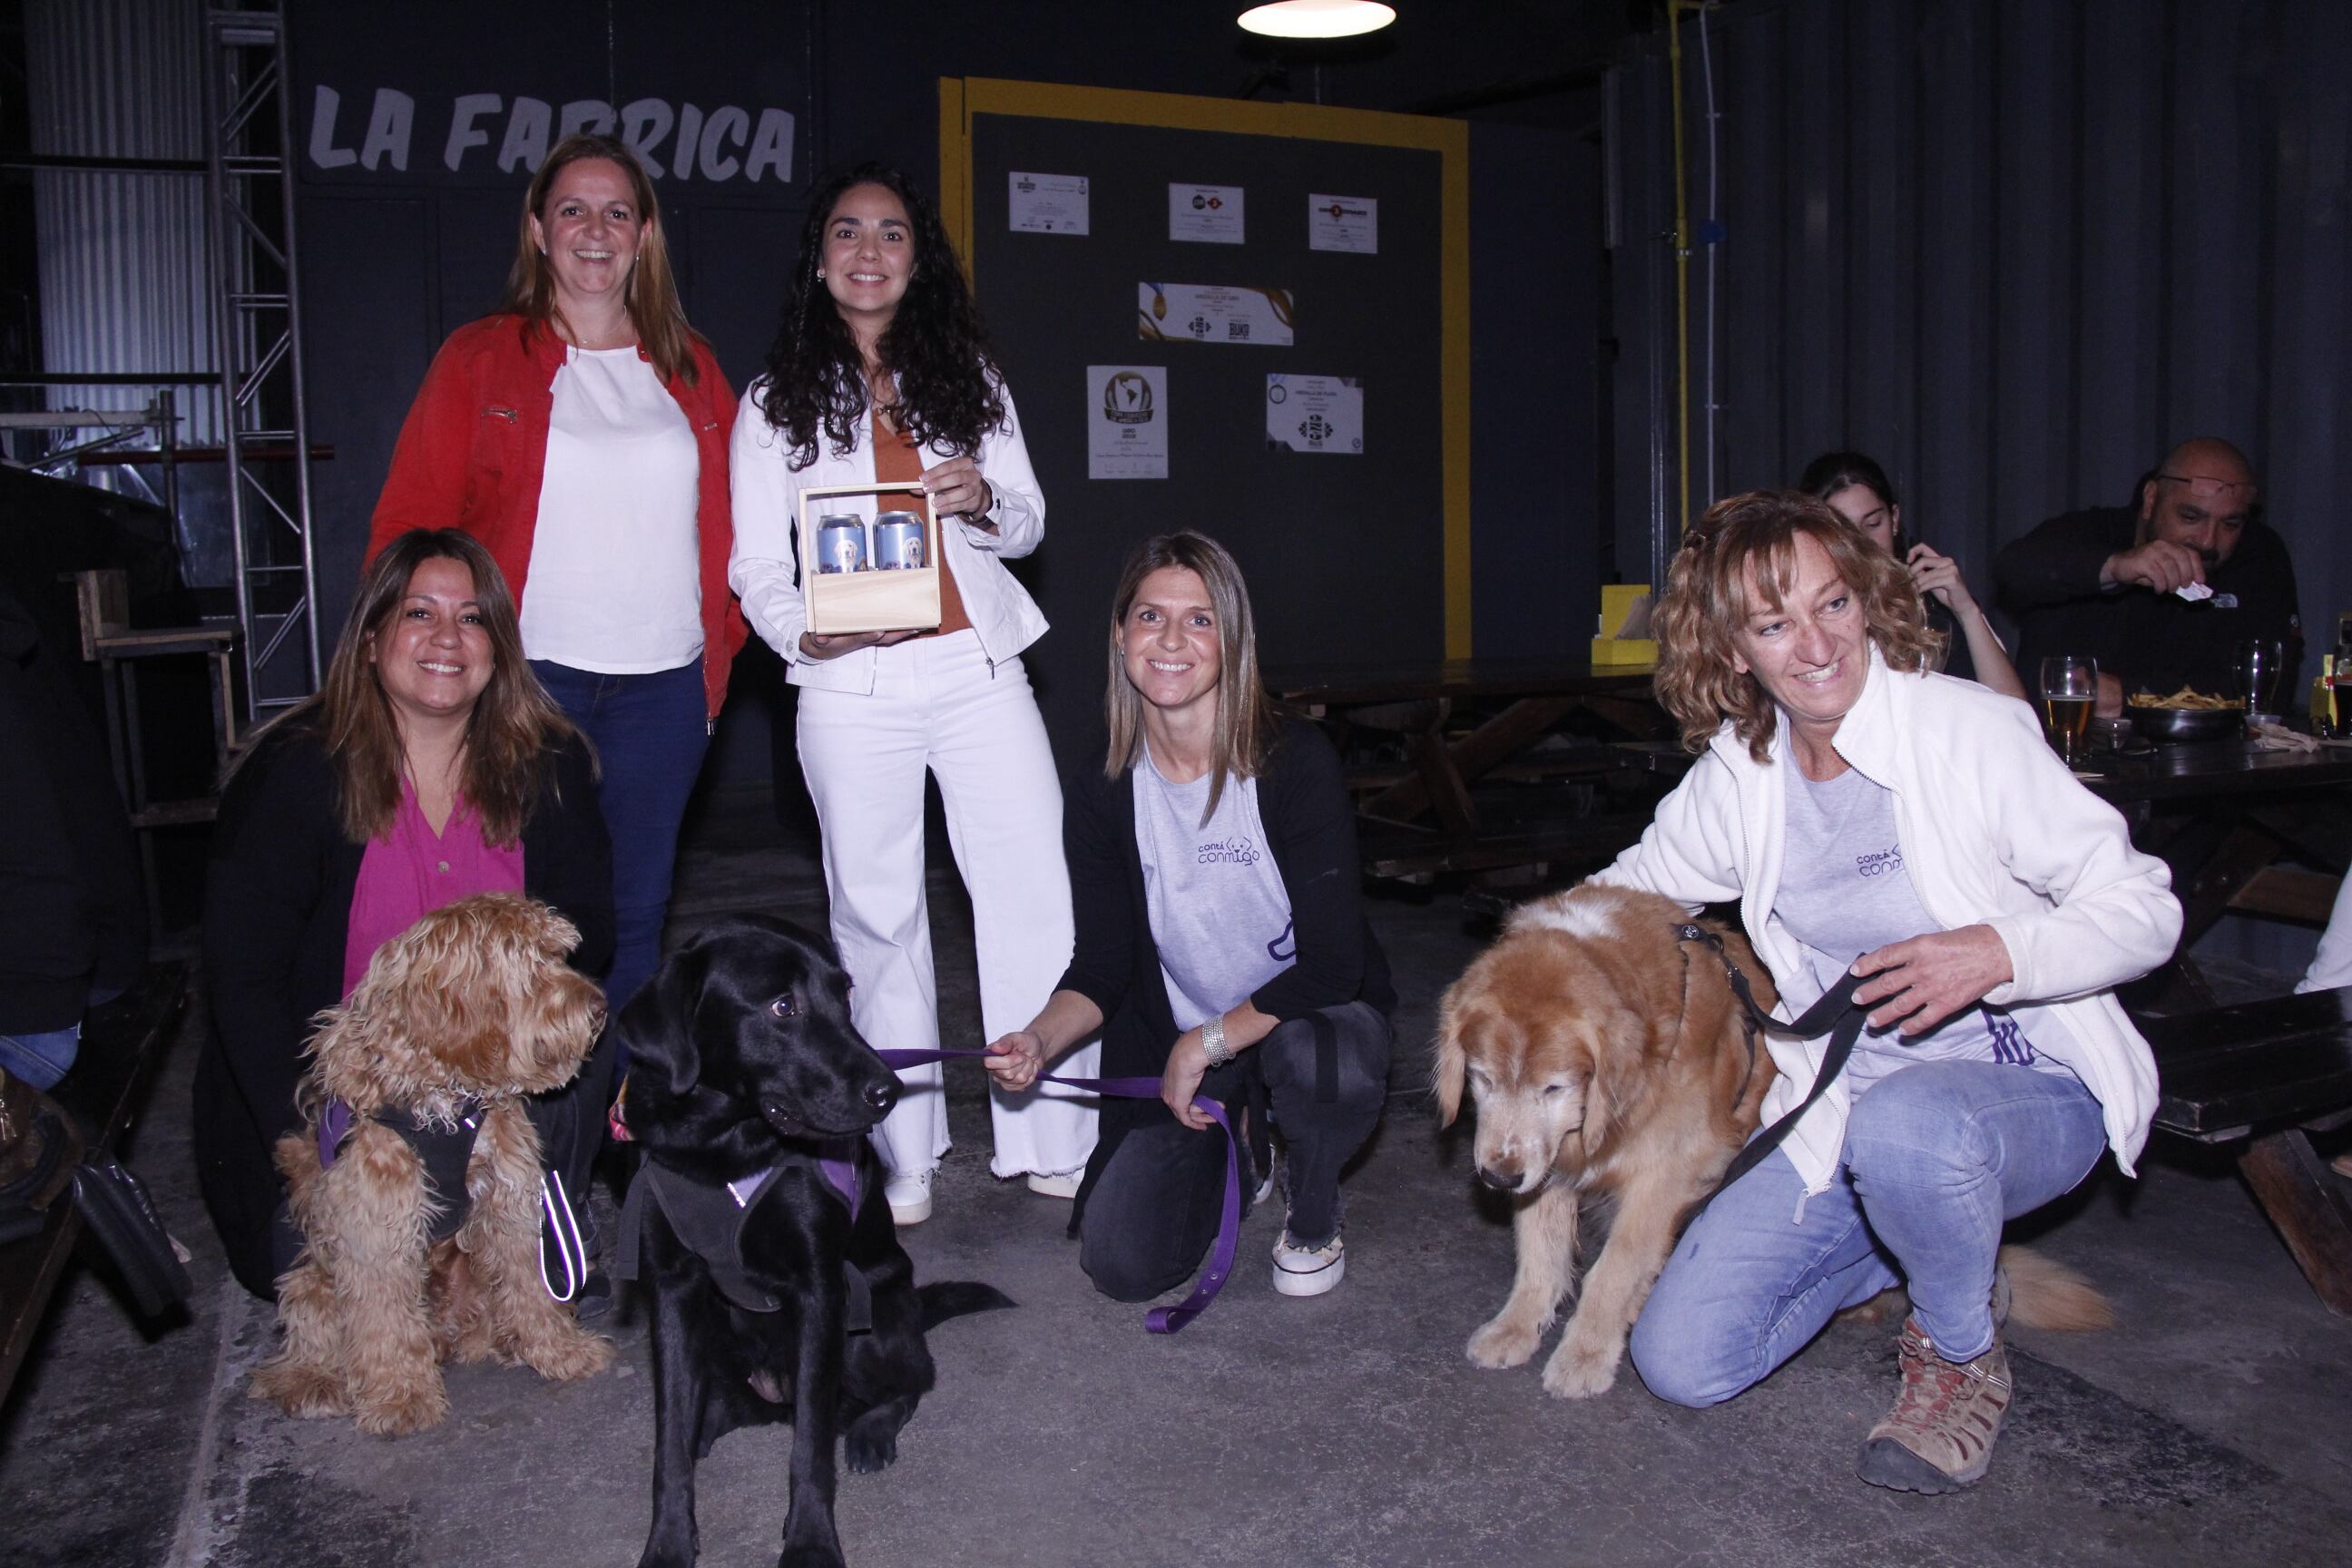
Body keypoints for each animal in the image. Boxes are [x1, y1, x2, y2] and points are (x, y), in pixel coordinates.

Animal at [253, 893, 616, 1438]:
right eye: (531, 963)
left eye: (559, 955)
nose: (601, 1007)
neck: (446, 1097)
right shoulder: (377, 1227)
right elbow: (384, 1321)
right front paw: (401, 1398)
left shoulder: (507, 1203)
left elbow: (531, 1289)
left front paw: (558, 1350)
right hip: (314, 1281)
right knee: (308, 1338)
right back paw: (314, 1382)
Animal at [616, 912, 1011, 1561]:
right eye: (783, 1006)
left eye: (844, 995)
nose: (889, 1092)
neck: (722, 1146)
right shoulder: (673, 1292)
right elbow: (668, 1440)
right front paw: (669, 1542)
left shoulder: (820, 1290)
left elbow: (811, 1446)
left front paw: (810, 1543)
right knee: (722, 1404)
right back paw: (711, 1421)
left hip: (868, 1325)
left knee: (911, 1379)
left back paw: (872, 1429)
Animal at [1420, 884, 1769, 1401]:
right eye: (1482, 1079)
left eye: (1554, 1087)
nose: (1499, 1178)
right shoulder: (1547, 1165)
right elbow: (1539, 1253)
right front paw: (1517, 1327)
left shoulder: (1664, 1176)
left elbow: (1616, 1268)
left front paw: (1586, 1354)